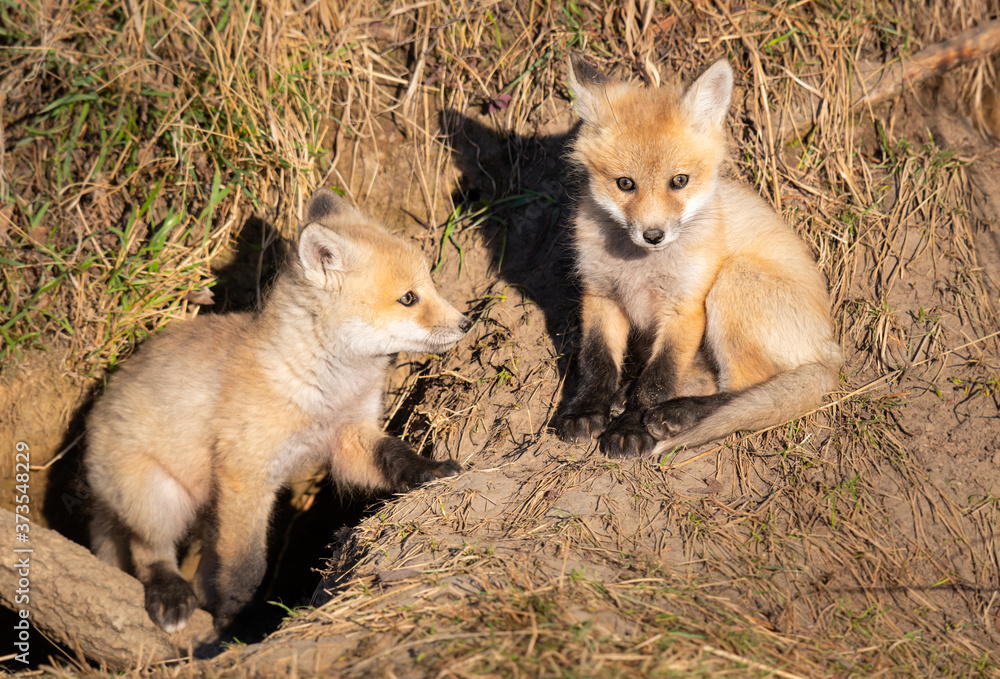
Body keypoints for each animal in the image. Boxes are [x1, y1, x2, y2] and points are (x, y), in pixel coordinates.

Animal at [85, 188, 470, 633]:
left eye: (431, 286)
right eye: (408, 298)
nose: (467, 323)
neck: (326, 391)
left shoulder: (350, 436)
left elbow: (396, 456)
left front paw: (432, 470)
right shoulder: (246, 475)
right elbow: (246, 568)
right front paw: (234, 624)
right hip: (158, 498)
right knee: (148, 550)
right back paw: (170, 593)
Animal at [555, 56, 842, 458]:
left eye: (679, 181)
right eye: (625, 184)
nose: (653, 235)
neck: (641, 268)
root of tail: (830, 349)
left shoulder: (685, 308)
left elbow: (658, 383)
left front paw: (632, 428)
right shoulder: (601, 294)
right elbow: (597, 363)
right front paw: (586, 411)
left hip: (733, 282)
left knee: (740, 389)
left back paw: (678, 413)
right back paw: (627, 397)